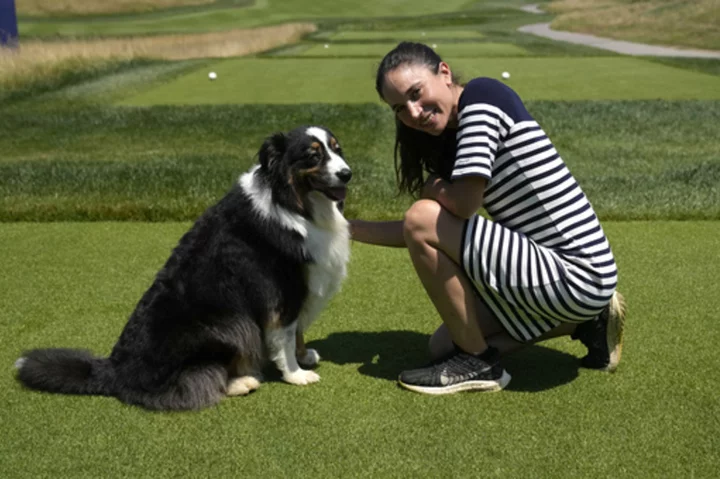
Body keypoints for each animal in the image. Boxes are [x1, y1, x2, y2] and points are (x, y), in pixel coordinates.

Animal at [15, 125, 352, 410]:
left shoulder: (301, 286)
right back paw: (241, 381)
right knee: (194, 382)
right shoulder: (283, 287)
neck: (294, 203)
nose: (347, 174)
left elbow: (298, 330)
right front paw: (295, 374)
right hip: (227, 322)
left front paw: (303, 356)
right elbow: (285, 334)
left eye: (337, 149)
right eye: (313, 155)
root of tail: (115, 370)